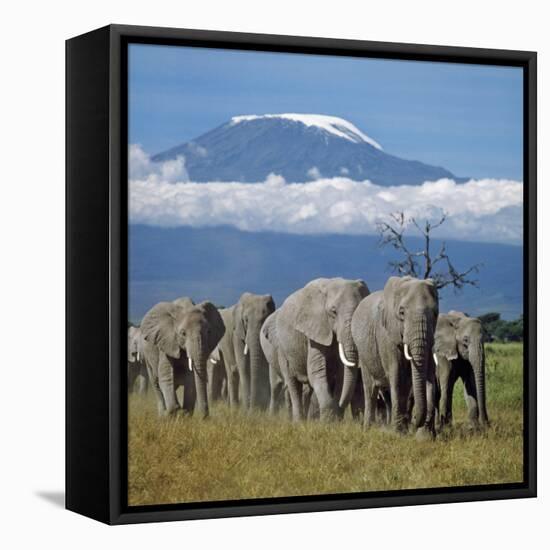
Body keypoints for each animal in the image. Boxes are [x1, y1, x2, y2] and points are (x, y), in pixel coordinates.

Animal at [276, 278, 370, 424]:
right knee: (293, 384)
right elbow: (316, 371)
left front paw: (335, 420)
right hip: (282, 348)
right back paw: (299, 423)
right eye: (333, 312)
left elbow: (341, 374)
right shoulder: (315, 327)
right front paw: (327, 421)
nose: (341, 406)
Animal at [354, 278, 440, 442]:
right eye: (402, 313)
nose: (414, 420)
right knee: (370, 389)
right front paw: (399, 435)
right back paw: (368, 429)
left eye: (435, 313)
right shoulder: (386, 335)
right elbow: (397, 377)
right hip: (363, 352)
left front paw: (424, 438)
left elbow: (429, 375)